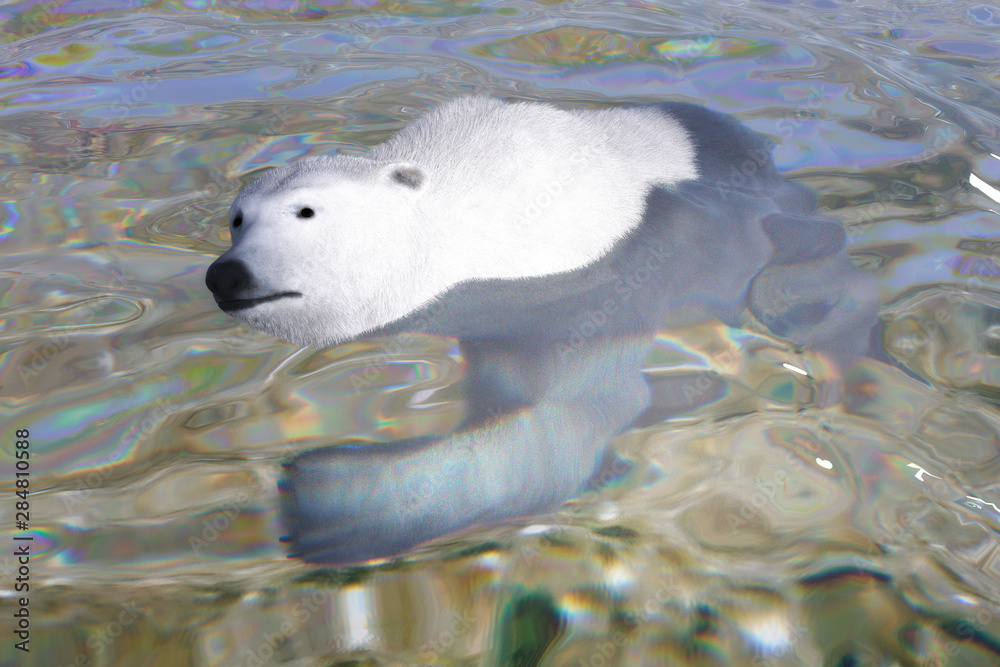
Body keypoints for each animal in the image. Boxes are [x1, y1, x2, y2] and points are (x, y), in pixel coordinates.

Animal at [205, 96, 878, 564]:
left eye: (306, 211)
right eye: (237, 218)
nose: (226, 275)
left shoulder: (578, 279)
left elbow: (561, 416)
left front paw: (324, 502)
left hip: (756, 216)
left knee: (802, 271)